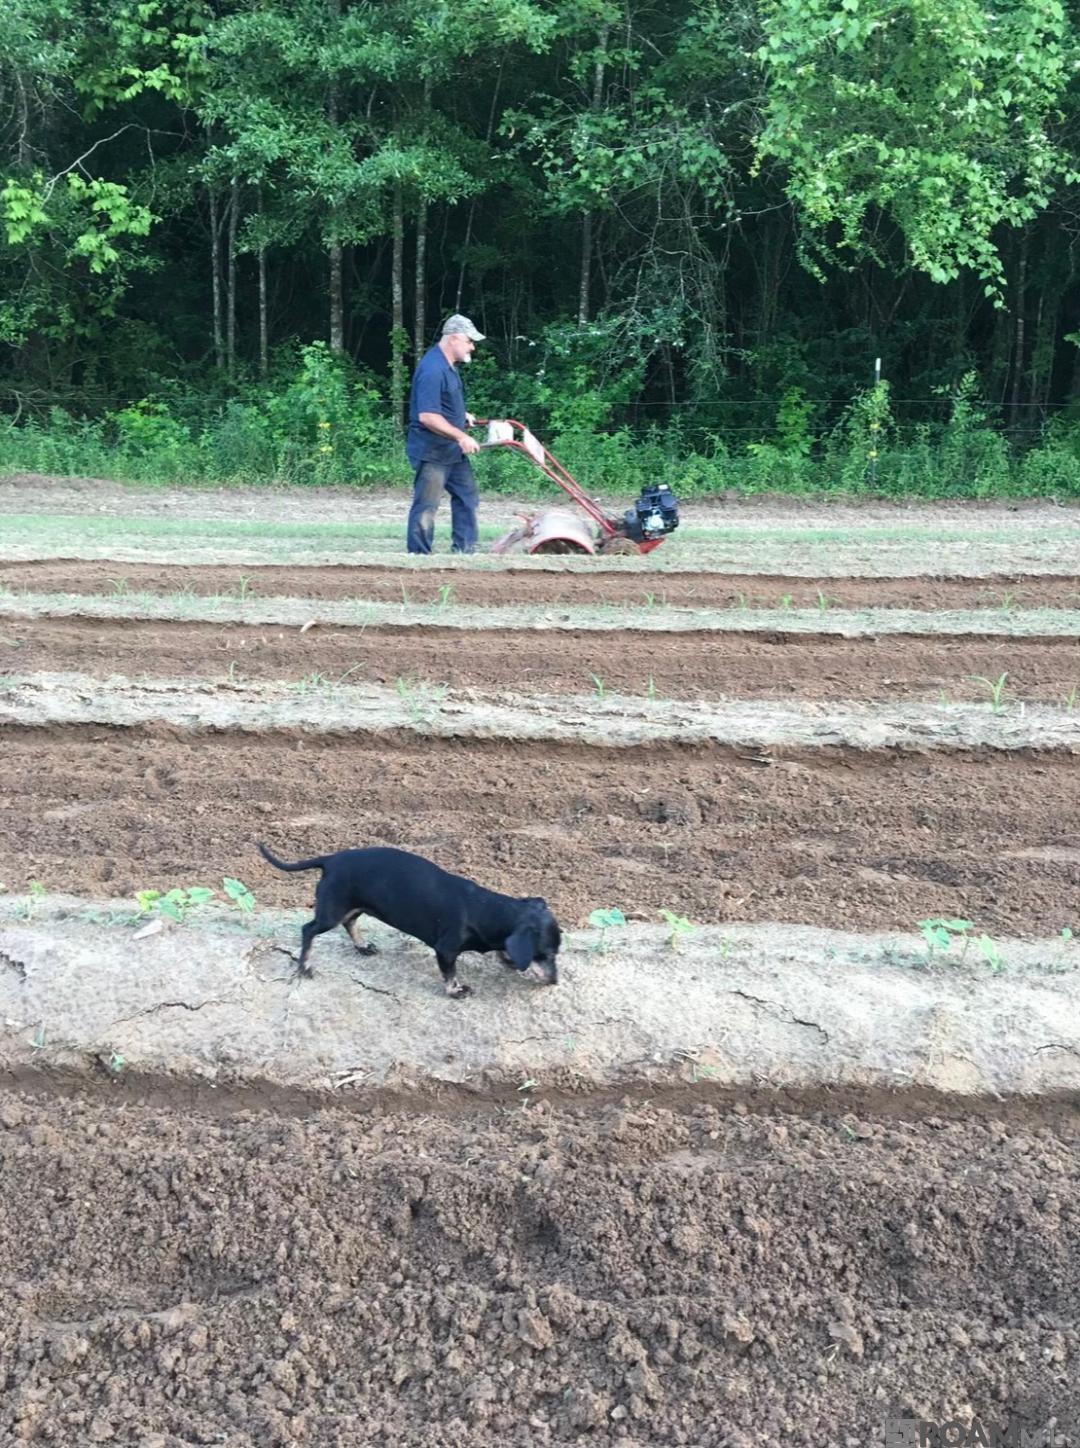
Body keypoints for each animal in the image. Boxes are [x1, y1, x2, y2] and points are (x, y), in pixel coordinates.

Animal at [257, 839, 558, 996]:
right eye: (544, 954)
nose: (555, 982)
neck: (484, 907)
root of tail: (330, 859)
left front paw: (506, 958)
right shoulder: (446, 950)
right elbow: (450, 974)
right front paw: (456, 990)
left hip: (355, 906)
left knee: (349, 922)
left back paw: (362, 946)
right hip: (331, 910)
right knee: (308, 930)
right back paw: (304, 966)